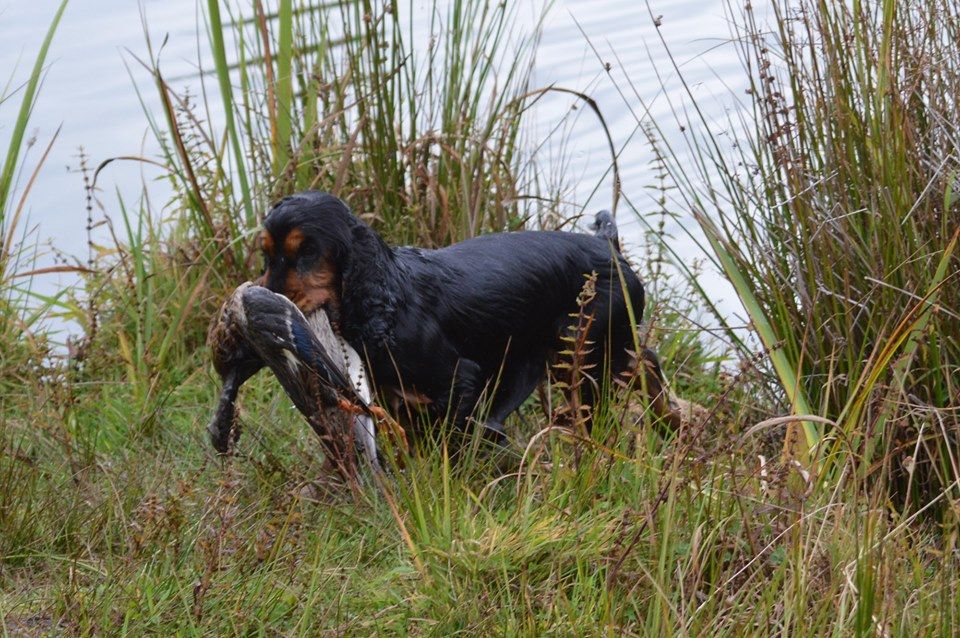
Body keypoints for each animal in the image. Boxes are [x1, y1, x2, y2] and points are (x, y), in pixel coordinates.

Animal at [258, 192, 672, 442]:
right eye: (266, 254)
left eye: (308, 252)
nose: (266, 296)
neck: (389, 298)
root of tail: (609, 247)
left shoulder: (459, 379)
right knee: (645, 361)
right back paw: (671, 423)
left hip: (583, 354)